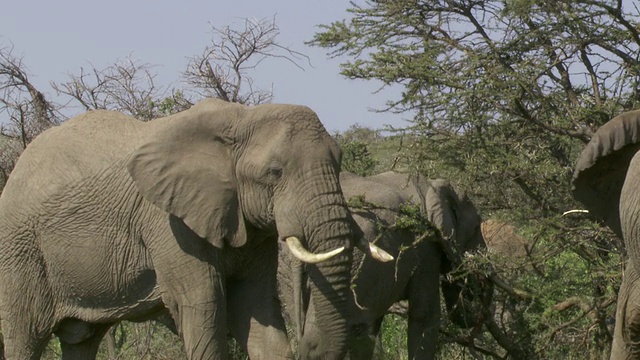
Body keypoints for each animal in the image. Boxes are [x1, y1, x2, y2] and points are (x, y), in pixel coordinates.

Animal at [0, 98, 364, 360]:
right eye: (274, 172)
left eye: (338, 162)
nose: (312, 348)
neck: (240, 118)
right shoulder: (169, 224)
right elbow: (203, 304)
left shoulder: (247, 223)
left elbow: (255, 303)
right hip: (20, 249)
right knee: (25, 335)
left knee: (82, 339)